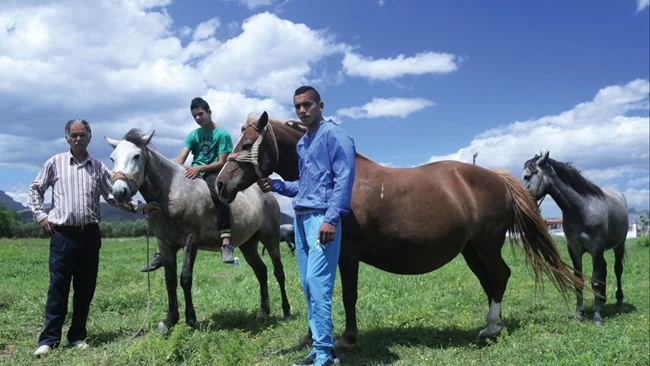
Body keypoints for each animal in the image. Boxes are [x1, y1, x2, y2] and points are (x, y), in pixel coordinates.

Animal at [104, 129, 292, 332]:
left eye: (137, 156)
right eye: (112, 158)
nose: (119, 192)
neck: (171, 194)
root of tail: (267, 193)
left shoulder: (190, 240)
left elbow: (185, 278)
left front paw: (190, 319)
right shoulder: (165, 243)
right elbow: (170, 280)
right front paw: (169, 320)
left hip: (270, 238)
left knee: (278, 271)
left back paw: (286, 310)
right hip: (248, 244)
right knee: (261, 271)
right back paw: (263, 311)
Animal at [214, 112, 588, 352]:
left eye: (247, 143)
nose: (220, 184)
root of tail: (498, 178)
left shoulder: (347, 253)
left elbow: (346, 295)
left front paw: (348, 338)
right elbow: (318, 292)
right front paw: (312, 338)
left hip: (486, 245)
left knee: (500, 275)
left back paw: (493, 325)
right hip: (470, 250)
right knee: (490, 279)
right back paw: (491, 325)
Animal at [520, 152, 624, 326]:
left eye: (527, 176)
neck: (582, 209)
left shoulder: (596, 248)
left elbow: (595, 281)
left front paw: (597, 318)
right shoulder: (574, 248)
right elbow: (578, 280)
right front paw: (579, 314)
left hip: (619, 246)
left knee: (618, 270)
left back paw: (619, 300)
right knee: (604, 268)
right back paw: (602, 300)